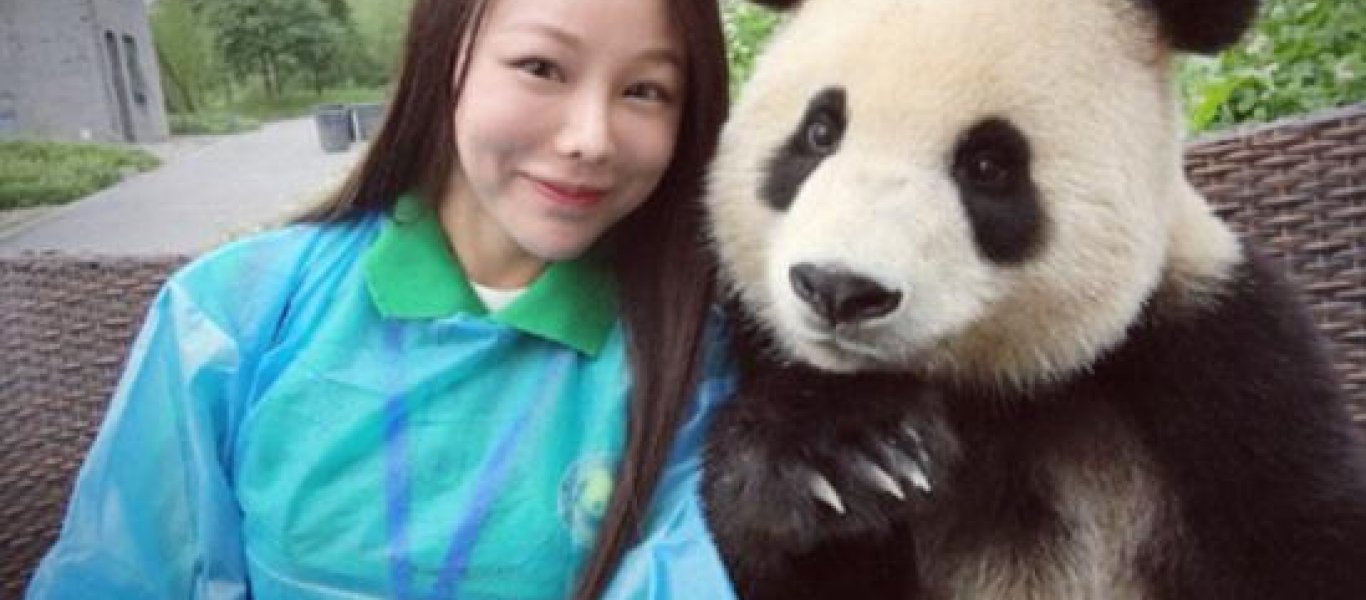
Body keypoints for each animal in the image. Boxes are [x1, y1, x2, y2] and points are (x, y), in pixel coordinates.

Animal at [699, 0, 1366, 598]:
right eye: (819, 132)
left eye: (988, 164)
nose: (838, 288)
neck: (990, 389)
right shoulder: (754, 347)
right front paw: (846, 456)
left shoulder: (1224, 361)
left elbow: (1304, 537)